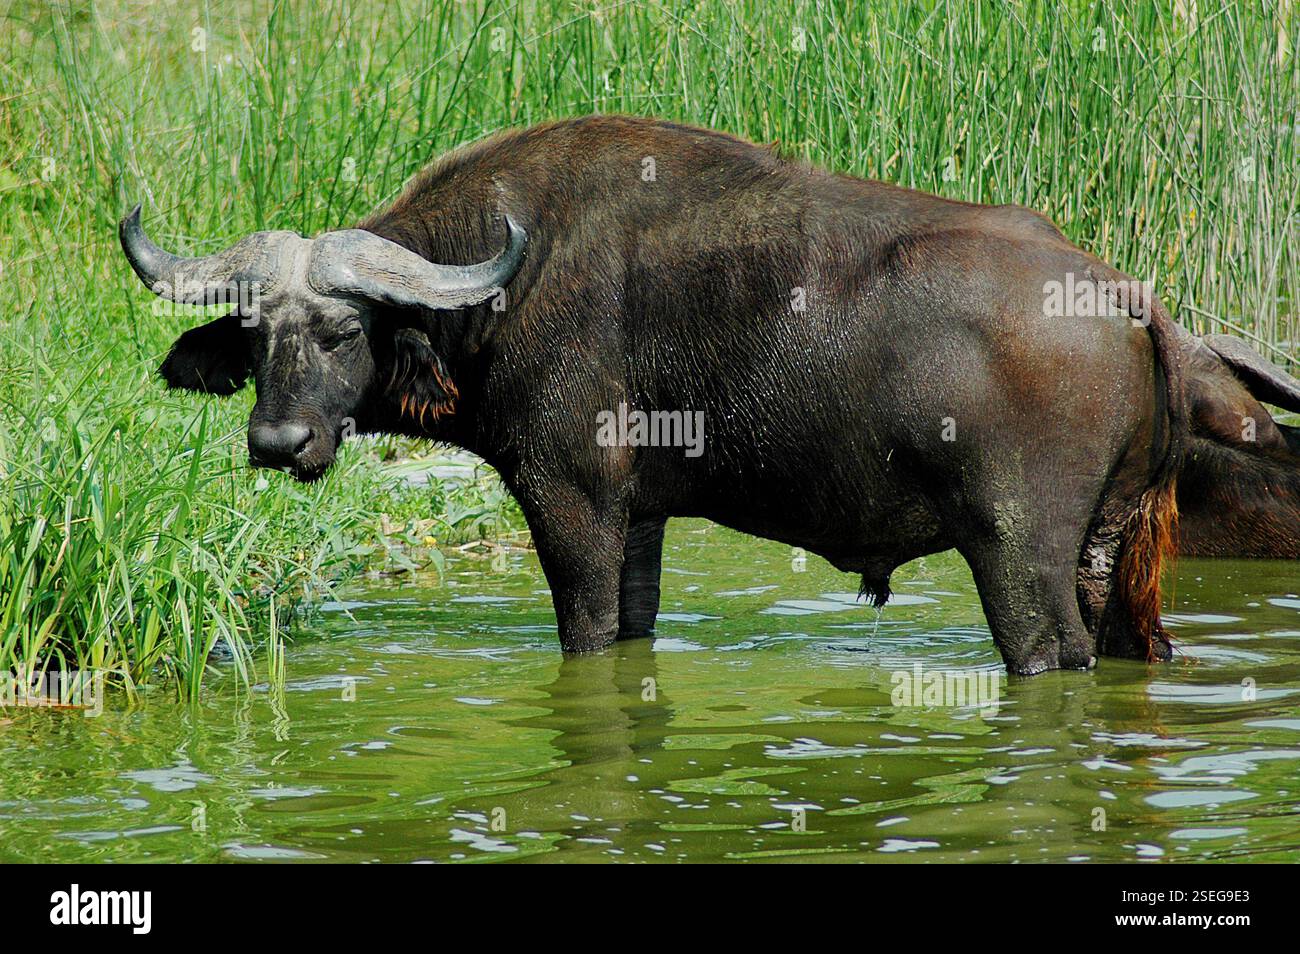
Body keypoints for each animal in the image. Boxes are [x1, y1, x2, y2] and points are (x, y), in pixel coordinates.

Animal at [120, 115, 1291, 675]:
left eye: (342, 331)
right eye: (256, 335)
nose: (277, 441)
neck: (508, 284)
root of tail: (1127, 296)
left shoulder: (573, 506)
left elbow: (588, 635)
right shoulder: (639, 522)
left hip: (1019, 557)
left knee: (1047, 657)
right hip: (1114, 557)